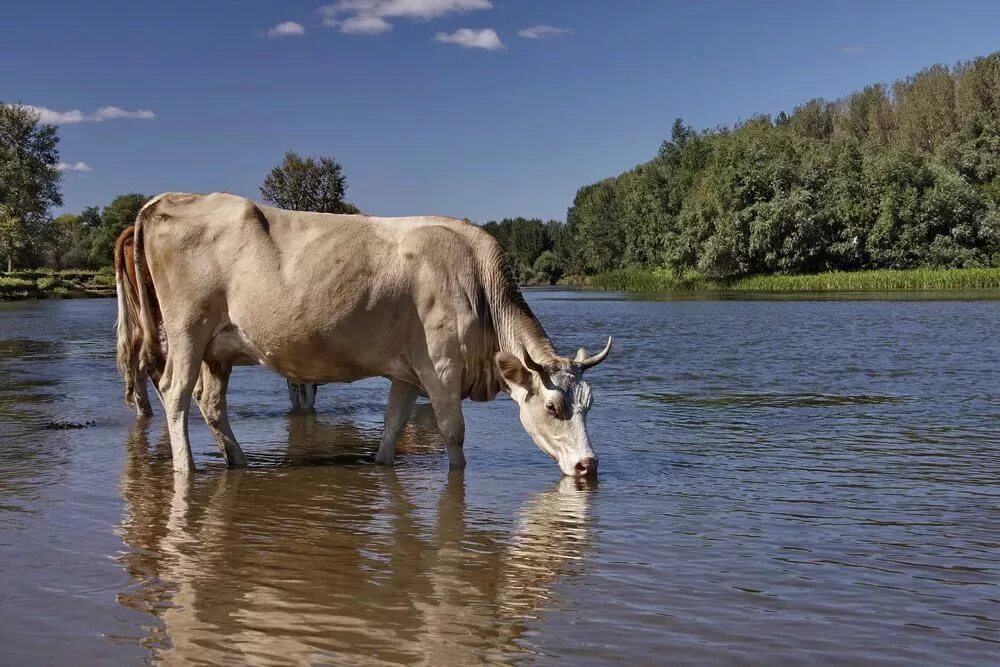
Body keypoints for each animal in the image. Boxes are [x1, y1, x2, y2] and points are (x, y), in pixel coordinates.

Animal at [114, 190, 612, 478]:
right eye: (553, 407)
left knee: (210, 403)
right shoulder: (441, 368)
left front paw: (382, 464)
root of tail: (164, 199)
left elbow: (391, 429)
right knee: (174, 393)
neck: (475, 279)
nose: (589, 465)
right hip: (187, 331)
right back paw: (186, 469)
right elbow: (454, 435)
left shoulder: (408, 374)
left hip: (218, 350)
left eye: (590, 405)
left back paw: (238, 462)